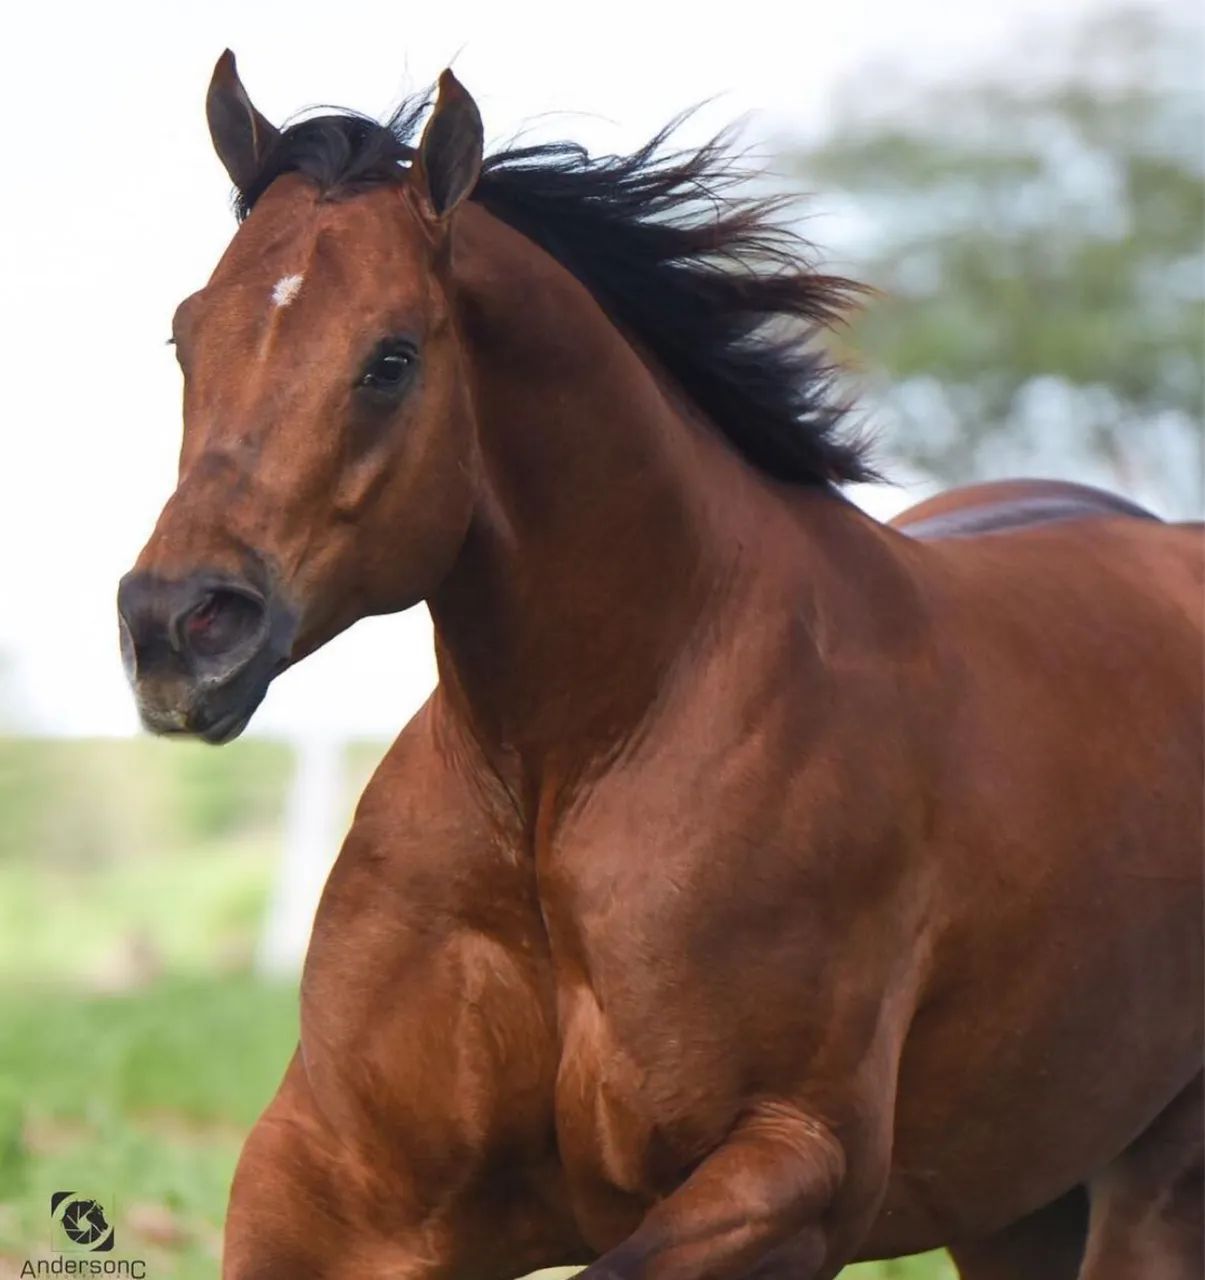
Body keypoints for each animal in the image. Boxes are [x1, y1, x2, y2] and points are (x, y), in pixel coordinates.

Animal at [117, 52, 1203, 1279]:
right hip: (1013, 1203)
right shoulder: (334, 1182)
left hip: (1156, 1186)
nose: (176, 627)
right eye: (186, 335)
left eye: (390, 359)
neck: (564, 777)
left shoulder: (792, 1170)